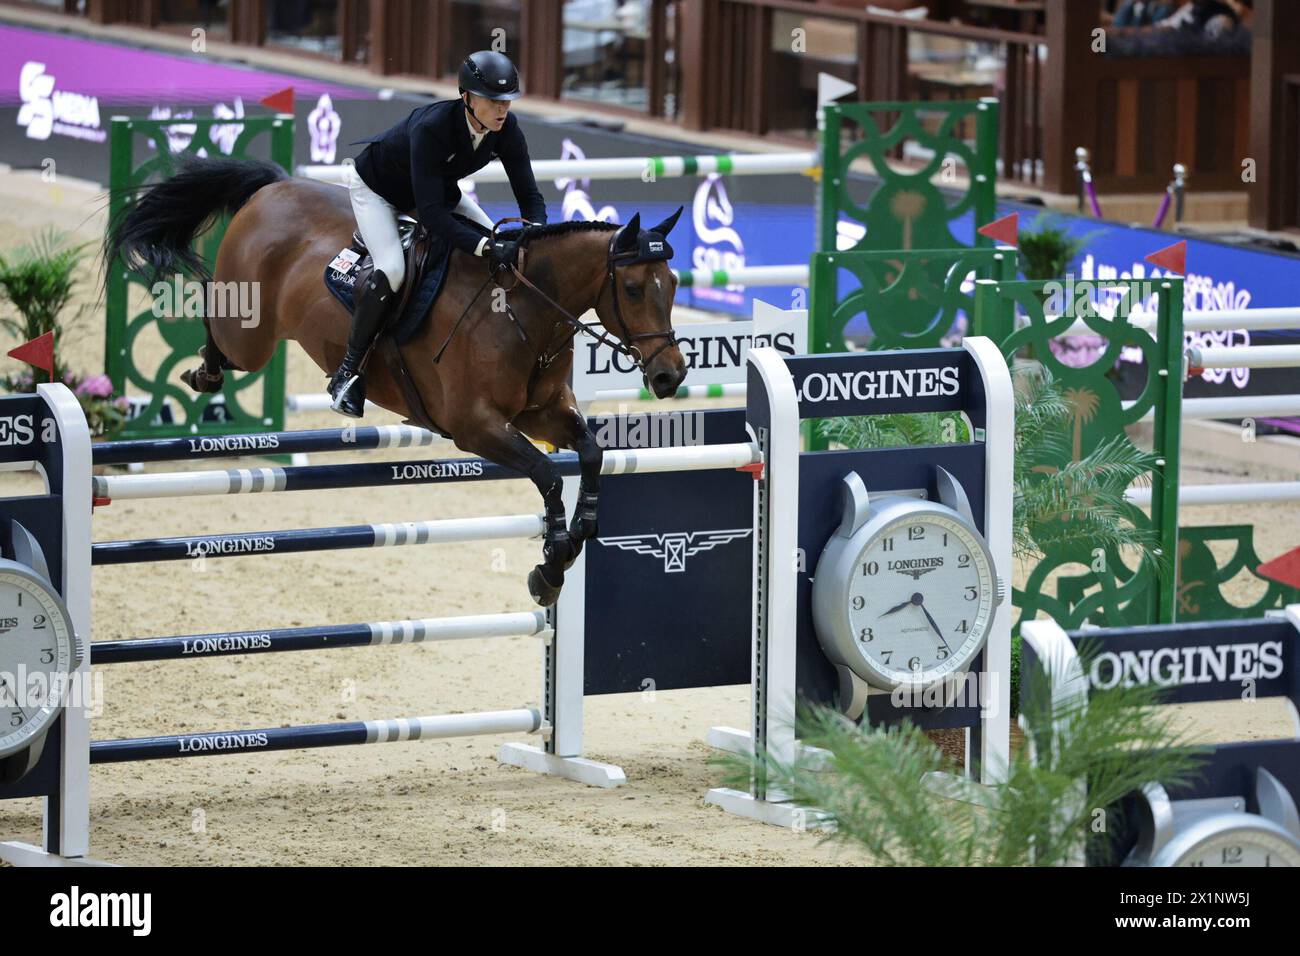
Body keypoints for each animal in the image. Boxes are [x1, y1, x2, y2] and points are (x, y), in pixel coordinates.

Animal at [109, 157, 691, 606]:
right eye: (633, 289)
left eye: (673, 283)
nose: (670, 375)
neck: (524, 309)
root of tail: (275, 186)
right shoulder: (475, 427)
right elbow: (548, 474)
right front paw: (550, 564)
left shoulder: (541, 413)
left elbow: (590, 453)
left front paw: (575, 538)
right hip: (249, 335)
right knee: (216, 310)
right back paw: (205, 370)